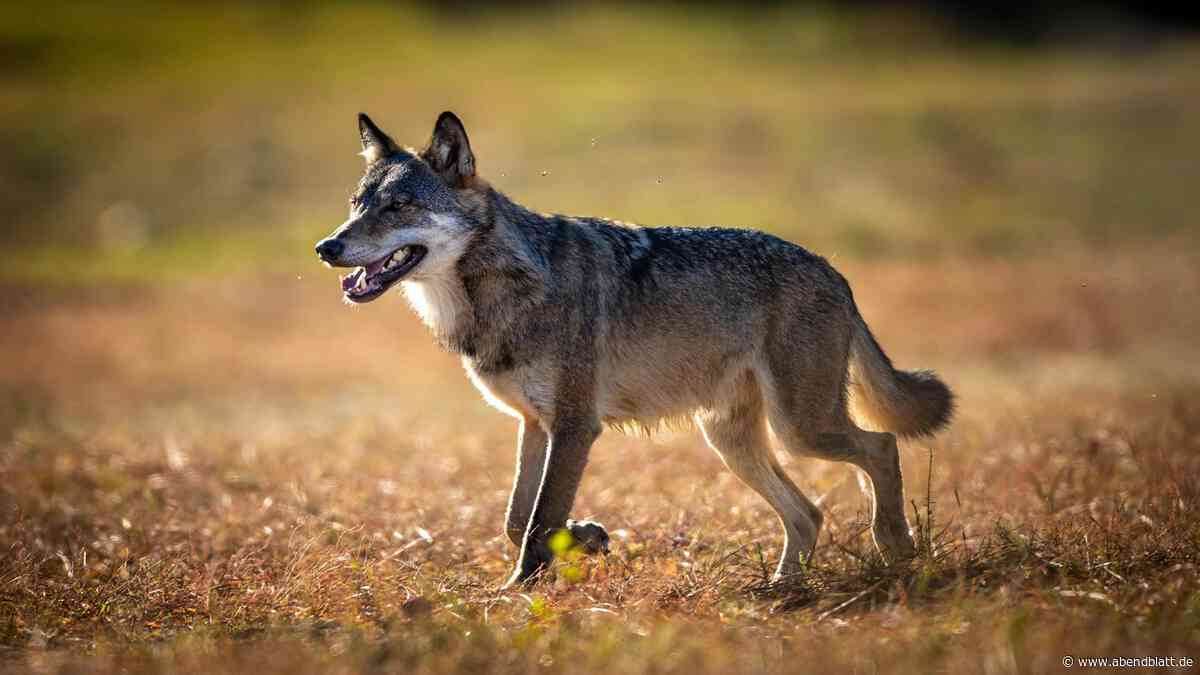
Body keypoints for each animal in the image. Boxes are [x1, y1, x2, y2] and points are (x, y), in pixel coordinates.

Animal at [315, 111, 954, 587]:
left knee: (881, 447)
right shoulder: (535, 425)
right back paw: (781, 589)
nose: (326, 247)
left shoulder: (575, 426)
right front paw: (584, 539)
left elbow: (538, 521)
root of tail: (836, 272)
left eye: (398, 207)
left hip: (800, 429)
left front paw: (514, 593)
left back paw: (895, 547)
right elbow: (517, 519)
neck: (500, 286)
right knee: (810, 512)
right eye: (356, 203)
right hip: (733, 441)